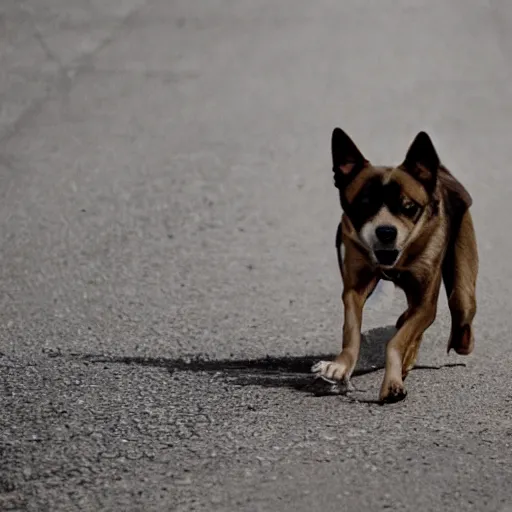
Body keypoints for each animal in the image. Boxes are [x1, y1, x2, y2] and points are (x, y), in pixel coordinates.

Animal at [312, 127, 480, 400]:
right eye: (363, 205)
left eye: (408, 207)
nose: (386, 232)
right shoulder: (354, 288)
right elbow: (351, 330)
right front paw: (340, 366)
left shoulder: (425, 303)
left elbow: (398, 339)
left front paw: (392, 383)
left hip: (463, 291)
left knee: (459, 311)